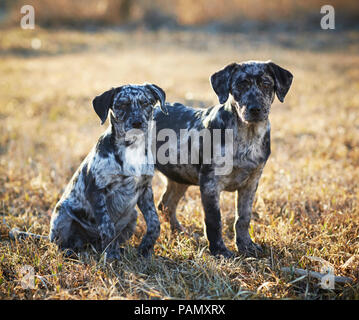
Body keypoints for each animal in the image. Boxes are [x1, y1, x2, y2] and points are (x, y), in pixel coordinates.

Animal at [48, 83, 169, 260]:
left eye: (145, 103)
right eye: (122, 105)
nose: (137, 123)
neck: (132, 148)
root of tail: (90, 242)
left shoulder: (145, 189)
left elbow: (154, 222)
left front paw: (145, 249)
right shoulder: (96, 190)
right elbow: (107, 226)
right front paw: (111, 256)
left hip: (132, 215)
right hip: (62, 213)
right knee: (64, 242)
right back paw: (70, 251)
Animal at [155, 60, 292, 258]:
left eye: (266, 84)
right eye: (241, 85)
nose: (255, 109)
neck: (247, 135)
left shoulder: (251, 182)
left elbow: (243, 218)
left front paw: (246, 246)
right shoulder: (210, 183)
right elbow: (214, 220)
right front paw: (219, 251)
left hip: (179, 176)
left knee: (166, 205)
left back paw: (181, 233)